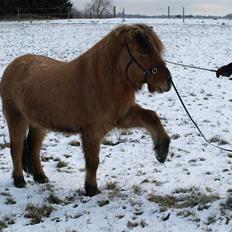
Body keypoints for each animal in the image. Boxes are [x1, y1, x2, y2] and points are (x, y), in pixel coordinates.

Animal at [0, 23, 172, 196]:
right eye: (144, 51)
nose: (168, 82)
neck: (100, 81)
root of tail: (14, 65)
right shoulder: (92, 131)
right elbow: (93, 161)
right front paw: (91, 189)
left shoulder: (122, 116)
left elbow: (151, 116)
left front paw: (162, 150)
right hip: (16, 118)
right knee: (16, 148)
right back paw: (19, 180)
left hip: (38, 123)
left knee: (34, 147)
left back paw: (40, 176)